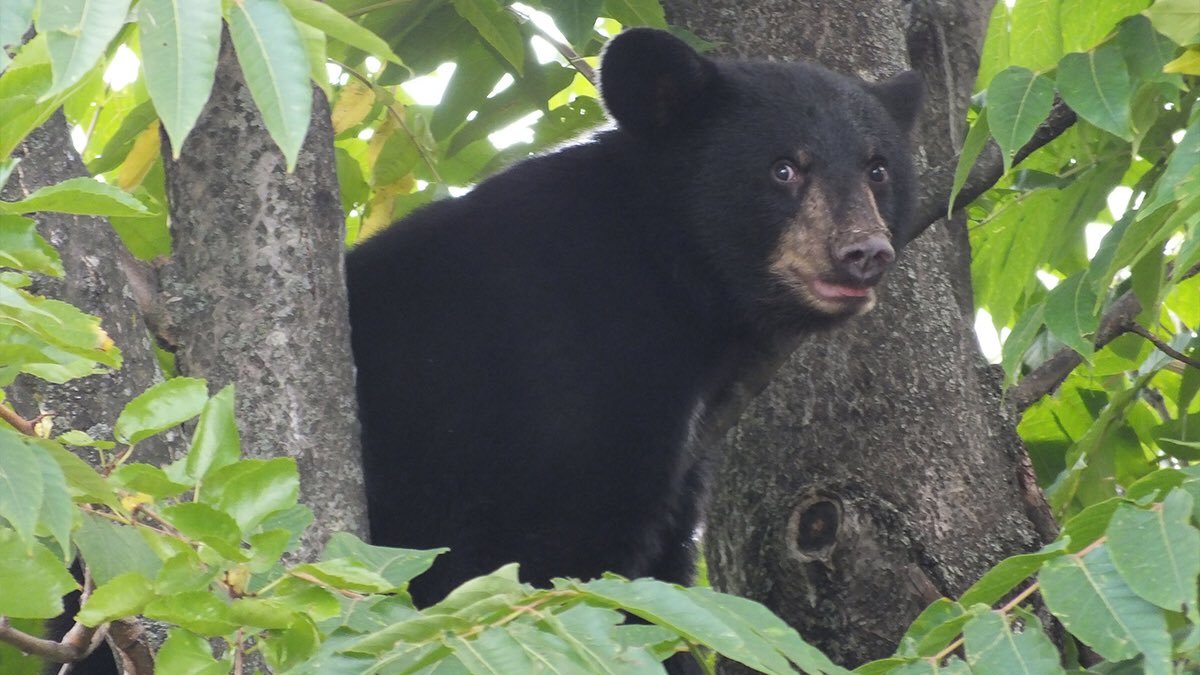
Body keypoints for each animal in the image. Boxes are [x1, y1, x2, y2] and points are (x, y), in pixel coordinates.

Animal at [348, 24, 921, 617]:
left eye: (878, 170)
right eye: (783, 168)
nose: (865, 252)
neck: (665, 264)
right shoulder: (563, 371)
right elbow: (560, 544)